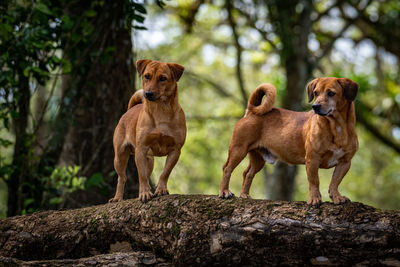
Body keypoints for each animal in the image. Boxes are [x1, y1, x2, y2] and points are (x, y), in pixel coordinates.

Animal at [108, 59, 185, 204]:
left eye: (163, 78)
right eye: (147, 76)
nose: (148, 94)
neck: (161, 110)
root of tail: (130, 109)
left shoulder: (175, 150)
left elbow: (165, 173)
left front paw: (160, 189)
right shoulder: (141, 149)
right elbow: (142, 176)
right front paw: (144, 193)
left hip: (149, 160)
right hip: (119, 157)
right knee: (122, 178)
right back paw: (118, 197)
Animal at [219, 76, 360, 206]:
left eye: (331, 93)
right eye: (315, 93)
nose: (315, 106)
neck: (337, 126)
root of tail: (251, 112)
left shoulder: (345, 162)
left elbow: (335, 182)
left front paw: (336, 197)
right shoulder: (312, 159)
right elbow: (314, 181)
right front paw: (314, 198)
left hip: (258, 158)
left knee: (248, 173)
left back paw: (244, 195)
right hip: (238, 150)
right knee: (227, 168)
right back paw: (224, 192)